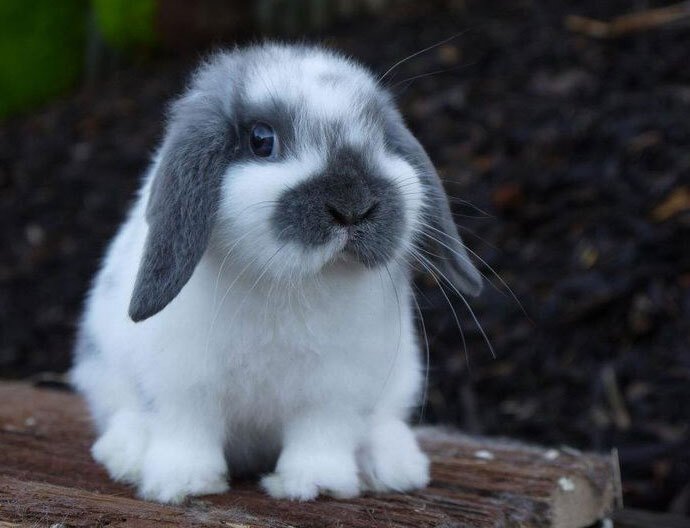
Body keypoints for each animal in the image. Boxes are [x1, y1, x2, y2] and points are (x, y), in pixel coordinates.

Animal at [70, 43, 482, 504]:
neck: (291, 283)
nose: (353, 206)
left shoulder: (334, 391)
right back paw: (125, 453)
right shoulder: (185, 385)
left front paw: (314, 485)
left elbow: (321, 435)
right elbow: (187, 432)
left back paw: (394, 466)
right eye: (262, 141)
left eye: (379, 137)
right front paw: (184, 484)